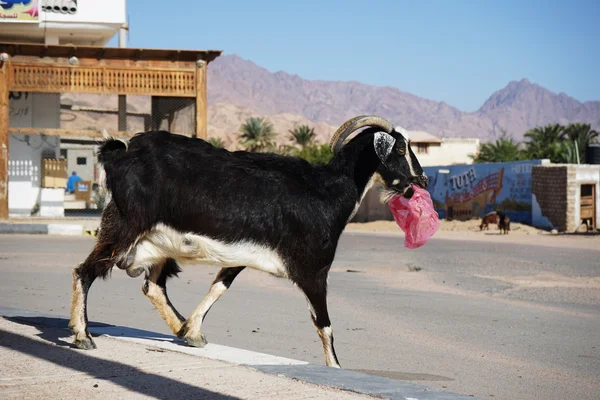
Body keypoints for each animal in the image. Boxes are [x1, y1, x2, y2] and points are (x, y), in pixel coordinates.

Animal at [69, 114, 426, 368]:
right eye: (399, 148)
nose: (420, 180)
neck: (328, 190)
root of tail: (121, 153)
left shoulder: (242, 254)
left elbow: (220, 285)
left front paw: (192, 331)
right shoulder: (313, 270)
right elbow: (324, 325)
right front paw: (336, 368)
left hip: (155, 241)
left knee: (153, 286)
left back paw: (181, 329)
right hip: (124, 225)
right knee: (84, 271)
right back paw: (83, 336)